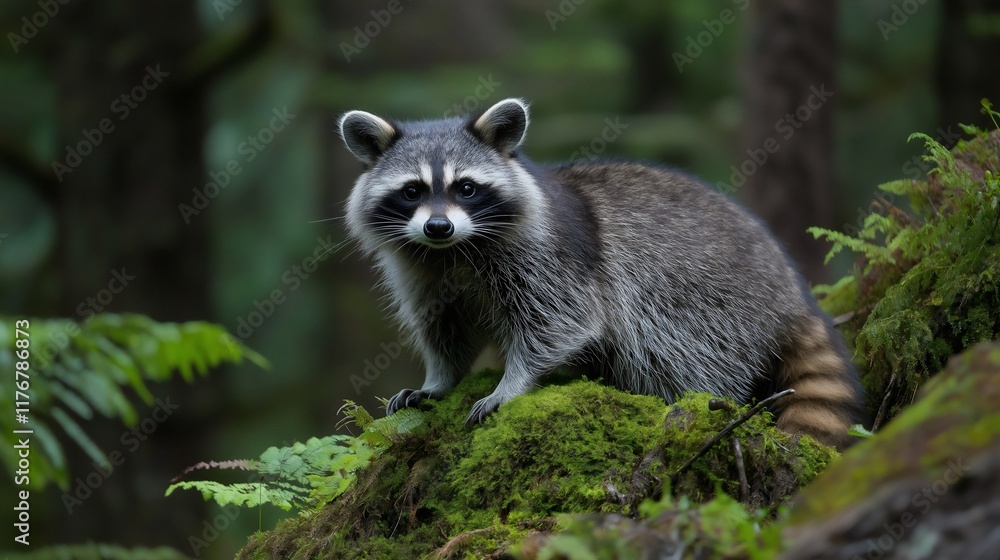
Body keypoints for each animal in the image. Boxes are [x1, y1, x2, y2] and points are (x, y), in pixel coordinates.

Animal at [338, 98, 862, 449]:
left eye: (465, 187)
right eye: (412, 191)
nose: (438, 226)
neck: (456, 250)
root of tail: (791, 292)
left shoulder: (550, 258)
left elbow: (559, 324)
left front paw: (512, 383)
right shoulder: (423, 269)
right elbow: (445, 330)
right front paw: (438, 380)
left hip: (706, 299)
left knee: (671, 348)